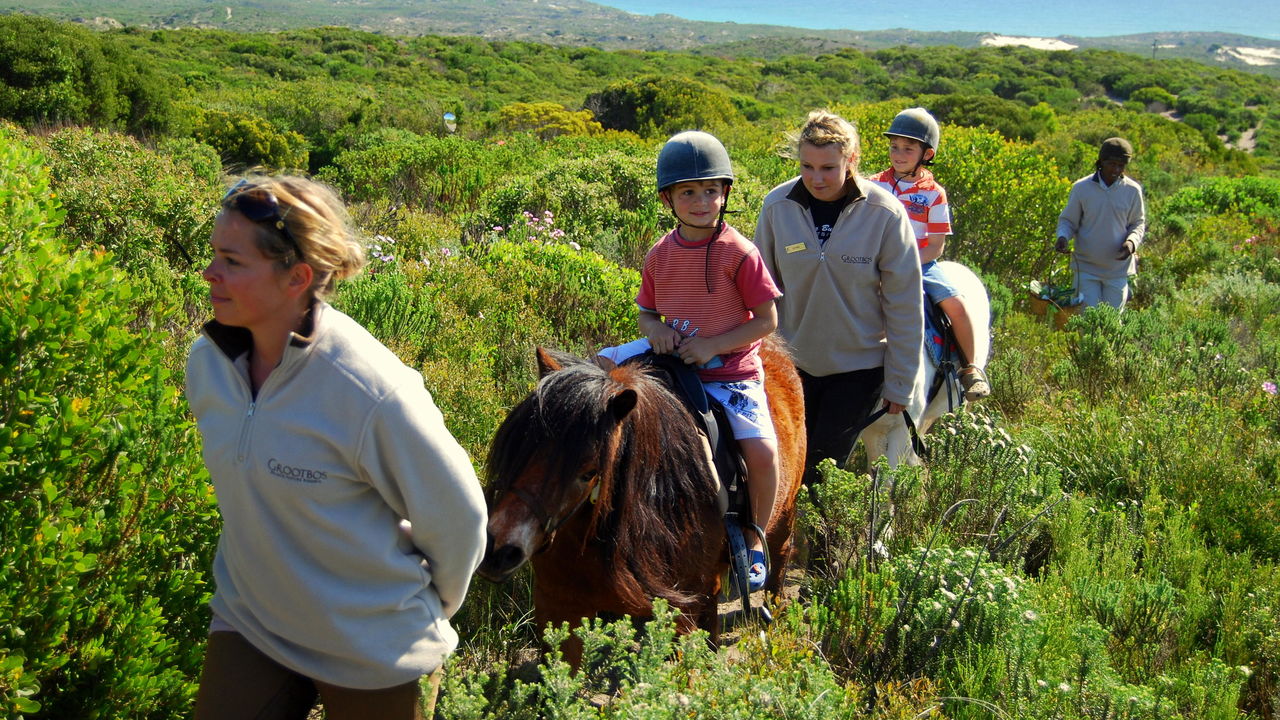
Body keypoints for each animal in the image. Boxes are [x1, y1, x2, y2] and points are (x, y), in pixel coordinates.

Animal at [476, 333, 803, 661]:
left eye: (588, 472)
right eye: (520, 445)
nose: (498, 550)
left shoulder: (679, 615)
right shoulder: (558, 608)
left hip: (780, 517)